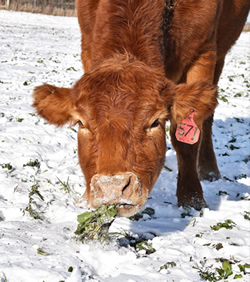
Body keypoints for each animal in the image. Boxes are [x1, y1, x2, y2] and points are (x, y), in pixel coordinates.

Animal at [32, 0, 249, 217]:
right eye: (81, 123)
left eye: (154, 122)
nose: (112, 188)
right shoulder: (87, 47)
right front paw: (86, 197)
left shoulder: (204, 53)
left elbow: (187, 139)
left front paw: (192, 199)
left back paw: (209, 171)